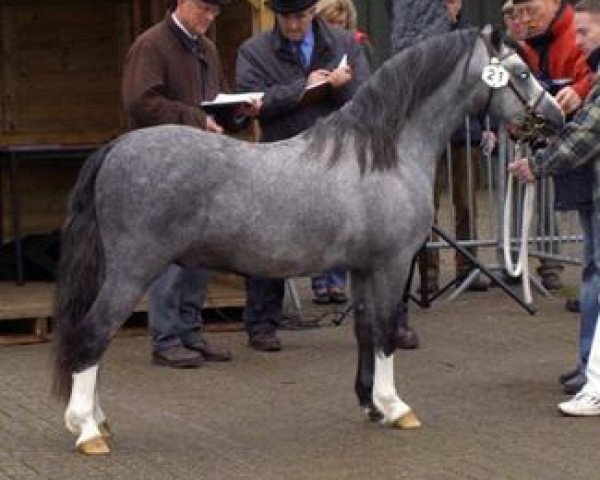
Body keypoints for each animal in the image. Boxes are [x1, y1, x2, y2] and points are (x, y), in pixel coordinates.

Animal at [55, 27, 564, 454]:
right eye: (520, 73)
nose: (557, 117)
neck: (381, 154)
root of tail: (117, 148)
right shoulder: (391, 264)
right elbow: (385, 331)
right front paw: (395, 406)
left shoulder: (361, 268)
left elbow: (364, 330)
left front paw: (370, 404)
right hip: (132, 272)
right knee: (92, 333)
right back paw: (87, 430)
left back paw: (98, 422)